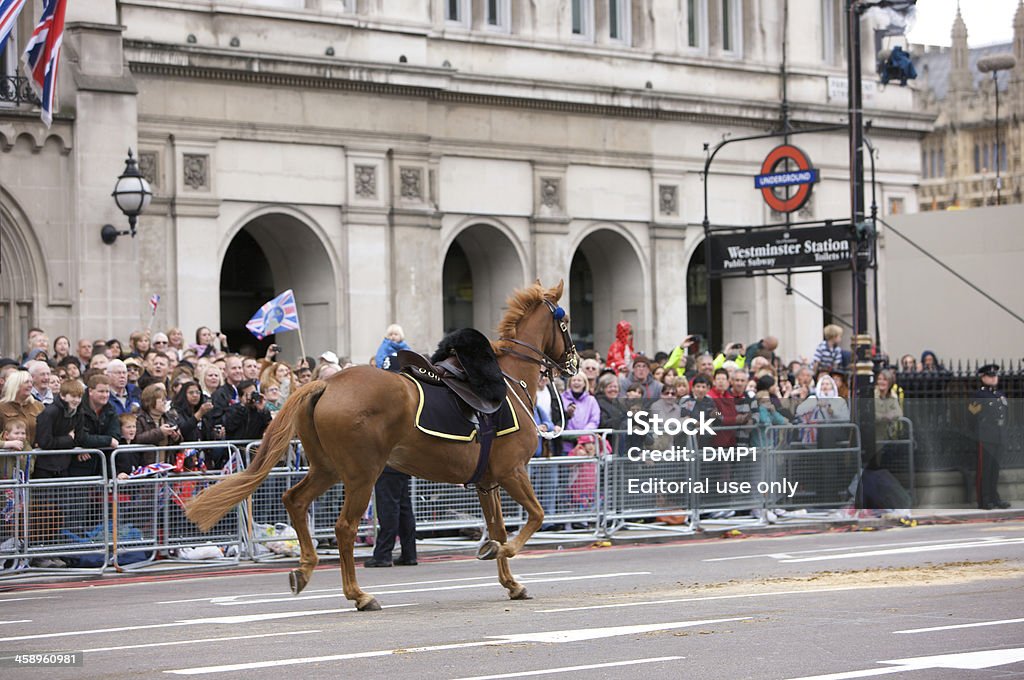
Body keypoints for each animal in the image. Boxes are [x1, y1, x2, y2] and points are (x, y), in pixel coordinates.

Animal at [185, 280, 581, 610]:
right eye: (564, 322)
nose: (574, 363)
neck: (509, 382)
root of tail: (327, 383)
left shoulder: (489, 482)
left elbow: (498, 527)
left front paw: (510, 580)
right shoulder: (513, 472)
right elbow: (535, 516)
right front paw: (506, 550)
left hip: (328, 469)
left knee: (295, 500)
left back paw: (306, 567)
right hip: (363, 475)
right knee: (344, 527)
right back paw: (358, 594)